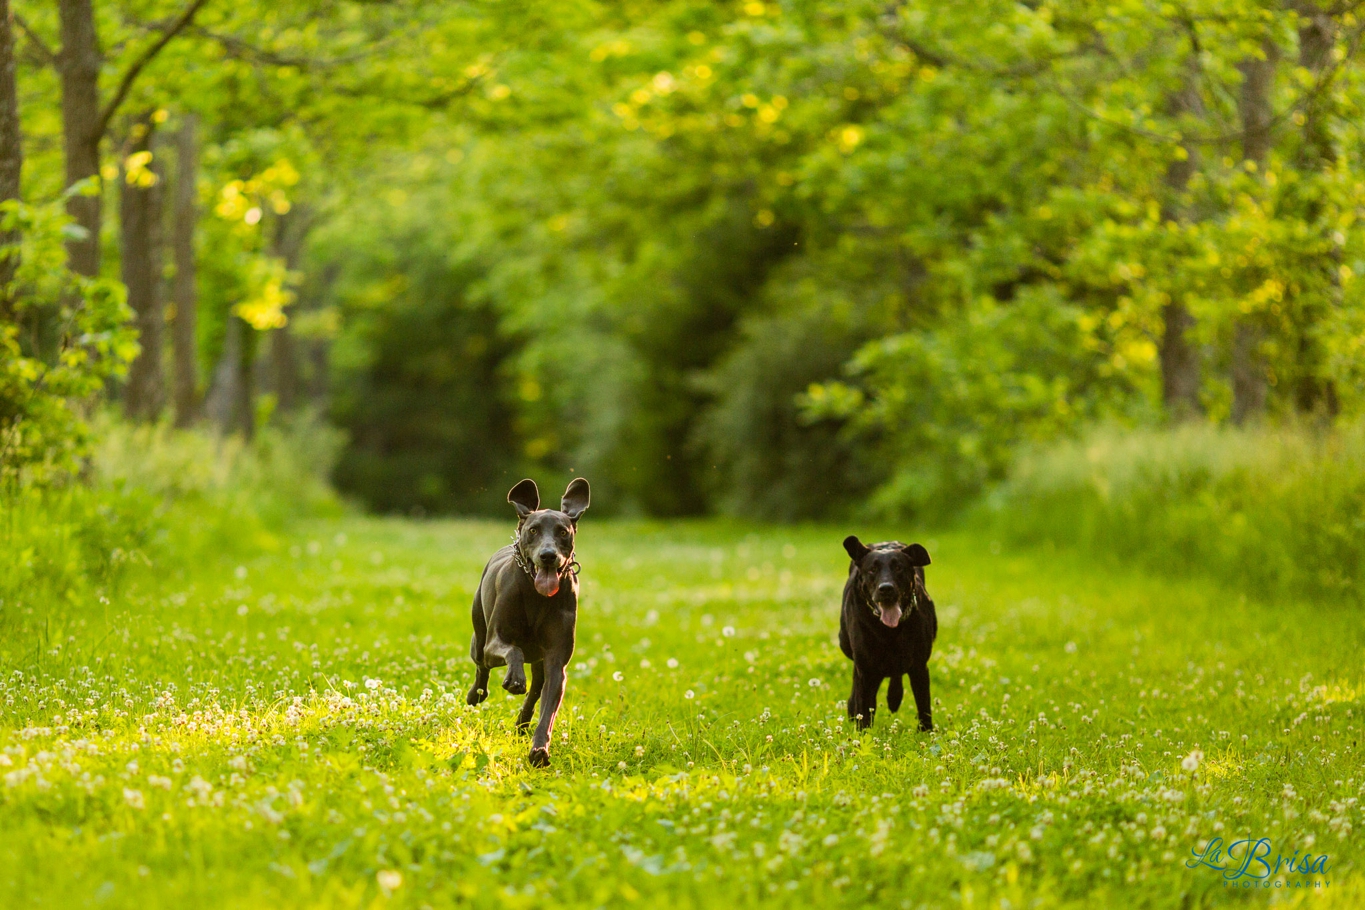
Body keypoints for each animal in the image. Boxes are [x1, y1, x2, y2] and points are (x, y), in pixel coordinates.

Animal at [466, 477, 589, 769]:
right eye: (533, 530)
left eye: (563, 532)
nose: (548, 555)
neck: (537, 596)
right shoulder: (495, 643)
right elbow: (513, 650)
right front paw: (514, 679)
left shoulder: (556, 659)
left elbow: (549, 706)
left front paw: (539, 749)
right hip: (479, 637)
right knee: (482, 666)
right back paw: (476, 694)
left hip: (540, 660)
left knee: (536, 689)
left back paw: (522, 723)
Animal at [835, 537, 933, 731]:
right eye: (872, 569)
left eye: (899, 567)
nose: (886, 588)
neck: (888, 631)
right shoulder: (866, 670)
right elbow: (864, 706)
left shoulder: (919, 667)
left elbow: (924, 705)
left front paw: (927, 732)